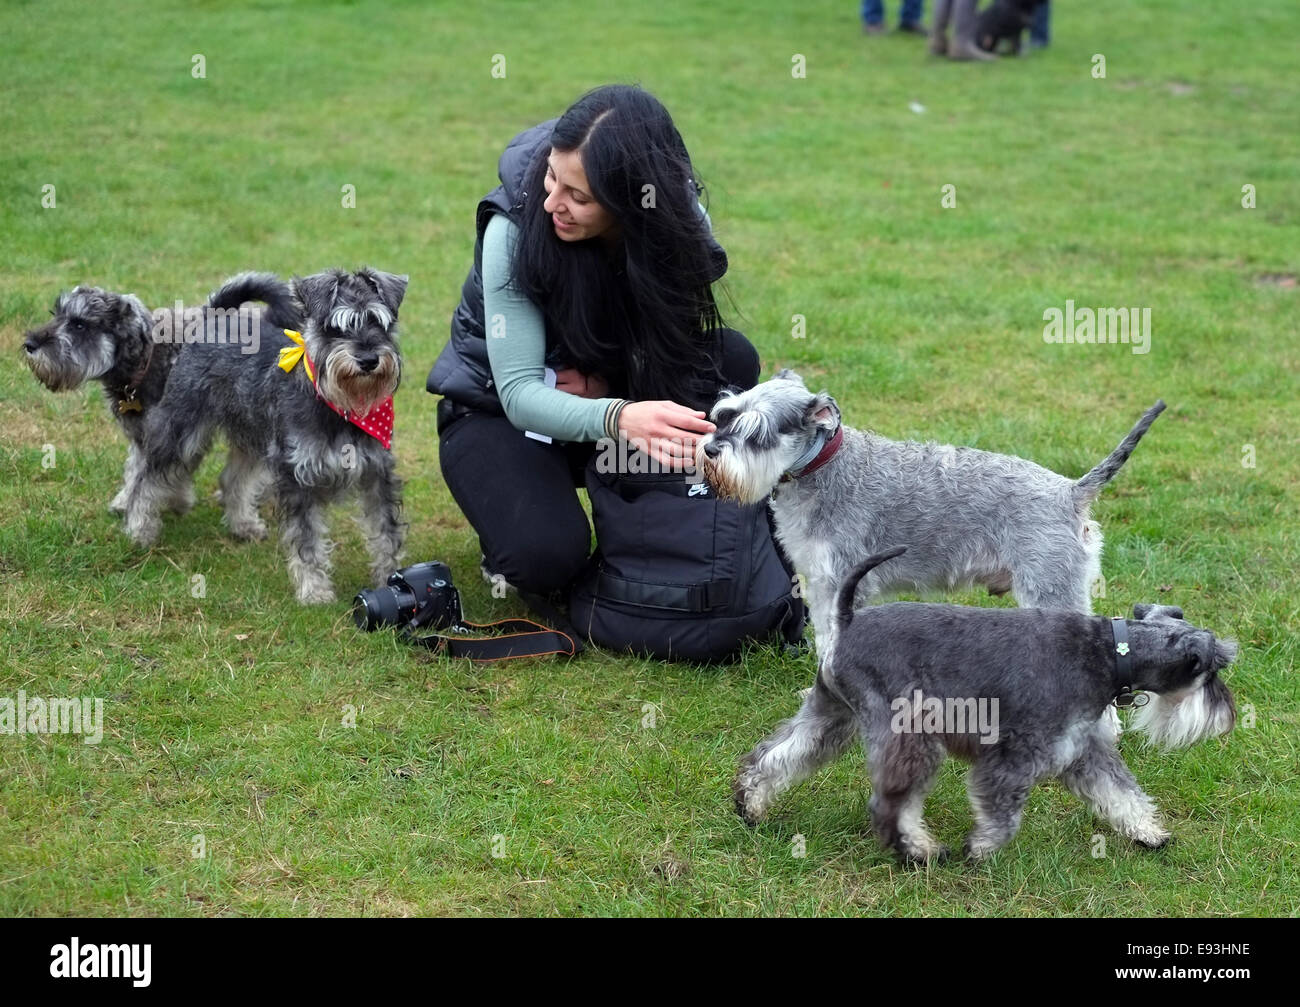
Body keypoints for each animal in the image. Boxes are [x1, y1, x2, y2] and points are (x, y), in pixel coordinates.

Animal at [23, 271, 299, 517]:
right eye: (56, 314)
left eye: (79, 324)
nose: (29, 344)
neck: (147, 359)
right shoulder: (142, 434)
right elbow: (137, 467)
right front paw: (126, 501)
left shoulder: (179, 428)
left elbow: (171, 469)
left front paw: (176, 500)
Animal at [122, 263, 408, 605]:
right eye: (333, 327)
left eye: (379, 322)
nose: (368, 360)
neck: (341, 405)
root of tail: (211, 318)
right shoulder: (297, 477)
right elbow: (307, 540)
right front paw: (315, 591)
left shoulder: (377, 476)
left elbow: (386, 534)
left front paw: (391, 579)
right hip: (181, 432)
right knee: (147, 478)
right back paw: (138, 530)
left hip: (252, 437)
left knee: (232, 480)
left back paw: (243, 525)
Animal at [702, 374, 1170, 665]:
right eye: (725, 415)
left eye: (758, 433)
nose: (708, 450)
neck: (823, 467)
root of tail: (1070, 491)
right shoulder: (818, 583)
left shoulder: (841, 583)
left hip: (1052, 591)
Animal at [733, 548, 1237, 862]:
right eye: (1214, 670)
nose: (1228, 718)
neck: (1112, 652)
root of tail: (846, 621)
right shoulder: (1016, 755)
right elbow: (1003, 811)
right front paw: (981, 849)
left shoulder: (1084, 751)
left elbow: (1120, 793)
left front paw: (1149, 832)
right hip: (909, 735)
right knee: (891, 803)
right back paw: (919, 852)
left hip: (831, 717)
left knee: (778, 755)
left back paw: (750, 805)